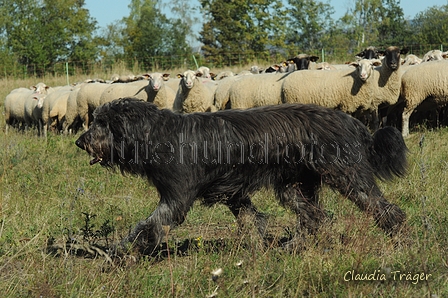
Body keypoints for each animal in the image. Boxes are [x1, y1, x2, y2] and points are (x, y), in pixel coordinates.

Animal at [75, 97, 408, 254]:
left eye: (102, 122)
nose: (80, 142)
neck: (157, 135)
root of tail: (354, 122)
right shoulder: (231, 192)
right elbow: (251, 218)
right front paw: (257, 246)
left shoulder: (176, 198)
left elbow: (146, 226)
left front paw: (119, 251)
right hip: (294, 186)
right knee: (314, 217)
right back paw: (291, 247)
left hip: (347, 176)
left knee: (385, 209)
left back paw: (398, 241)